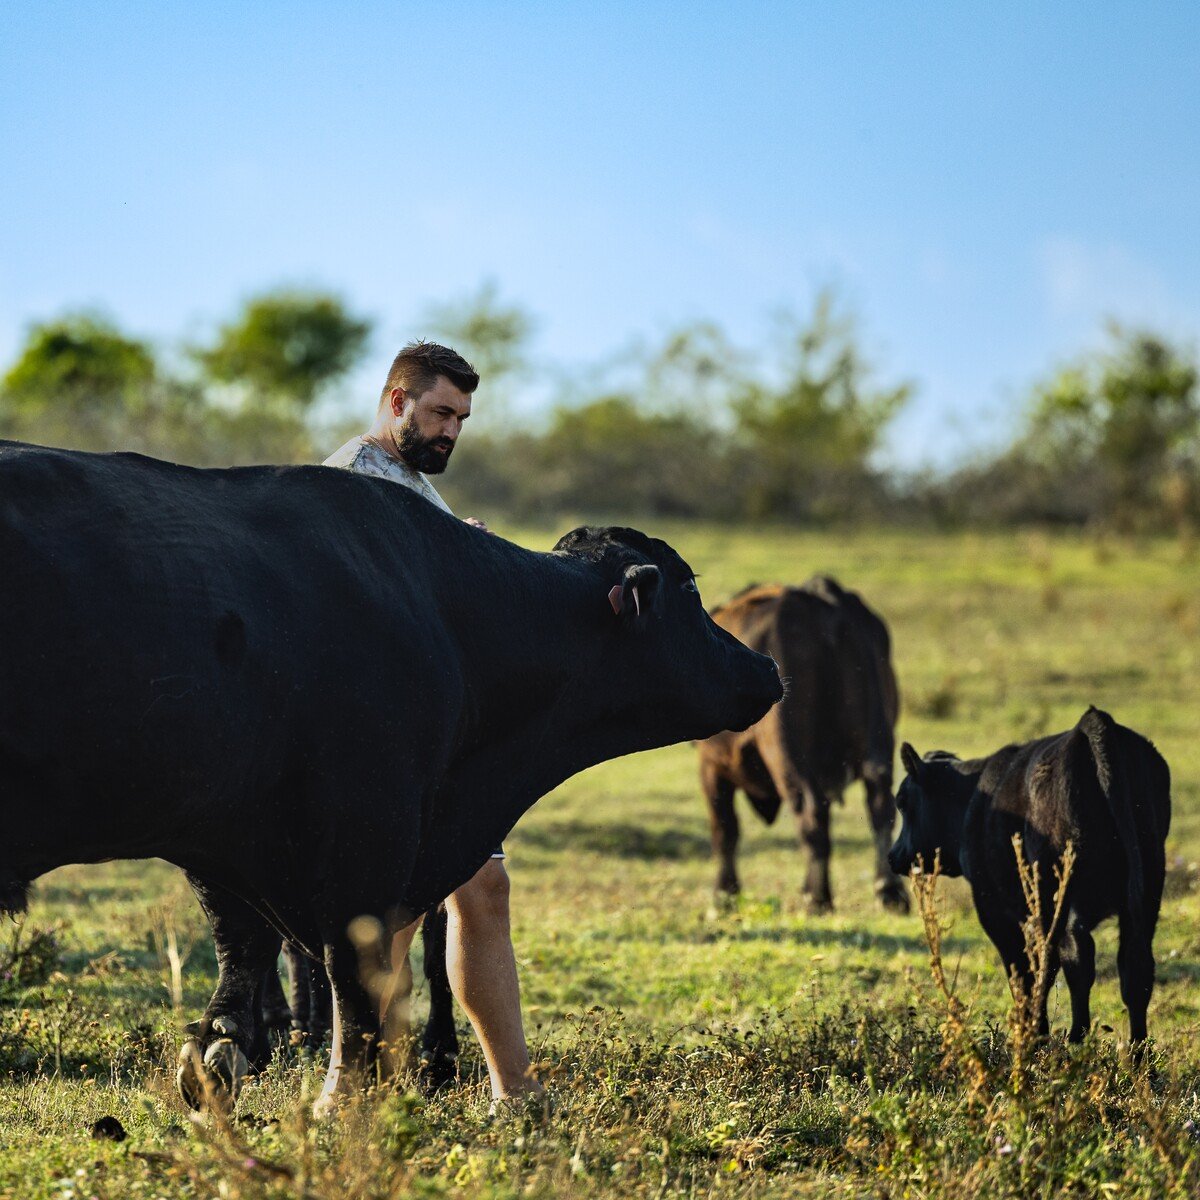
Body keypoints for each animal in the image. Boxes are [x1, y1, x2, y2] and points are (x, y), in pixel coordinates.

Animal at [0, 444, 777, 1113]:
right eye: (691, 589)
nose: (765, 666)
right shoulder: (366, 837)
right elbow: (351, 979)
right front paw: (343, 1096)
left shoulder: (223, 829)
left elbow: (244, 946)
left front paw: (223, 1054)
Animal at [696, 578, 902, 907]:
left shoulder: (712, 767)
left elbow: (725, 829)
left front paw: (723, 895)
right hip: (877, 740)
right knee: (880, 805)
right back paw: (889, 890)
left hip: (785, 752)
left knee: (810, 810)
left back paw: (816, 898)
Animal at [892, 705, 1171, 1046]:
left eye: (902, 802)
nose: (894, 855)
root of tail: (1091, 723)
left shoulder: (992, 907)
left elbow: (1021, 968)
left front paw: (1031, 1033)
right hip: (1148, 883)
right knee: (1135, 966)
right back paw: (1137, 1049)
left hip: (1060, 893)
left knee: (1070, 955)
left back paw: (1071, 1036)